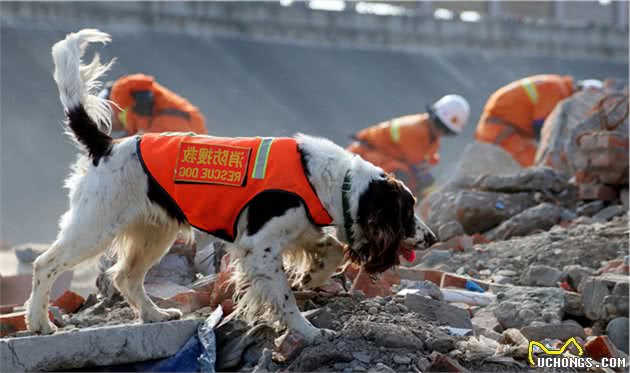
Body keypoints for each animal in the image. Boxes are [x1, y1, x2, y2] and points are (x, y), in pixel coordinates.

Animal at [25, 29, 440, 342]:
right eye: (407, 211)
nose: (433, 238)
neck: (331, 179)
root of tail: (106, 146)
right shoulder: (259, 247)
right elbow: (284, 298)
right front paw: (307, 332)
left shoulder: (301, 230)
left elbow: (333, 249)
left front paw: (312, 276)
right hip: (95, 227)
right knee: (46, 264)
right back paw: (39, 322)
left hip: (153, 234)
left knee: (125, 277)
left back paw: (155, 315)